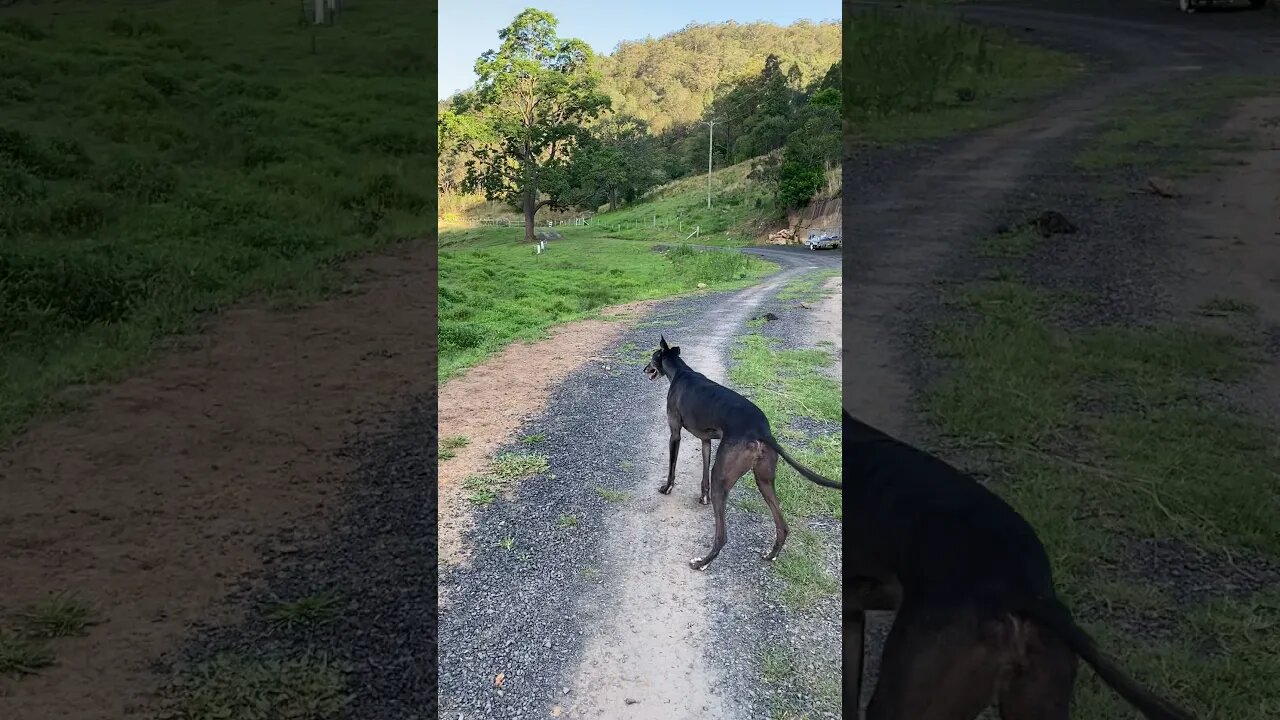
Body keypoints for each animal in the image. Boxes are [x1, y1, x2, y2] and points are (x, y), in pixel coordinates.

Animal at [645, 335, 844, 571]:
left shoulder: (675, 434)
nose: (644, 369)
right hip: (764, 479)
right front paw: (703, 497)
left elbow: (672, 466)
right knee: (782, 526)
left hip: (722, 478)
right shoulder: (705, 441)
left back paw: (702, 562)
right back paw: (771, 554)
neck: (680, 371)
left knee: (722, 536)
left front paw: (666, 487)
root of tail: (761, 431)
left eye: (652, 357)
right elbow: (704, 471)